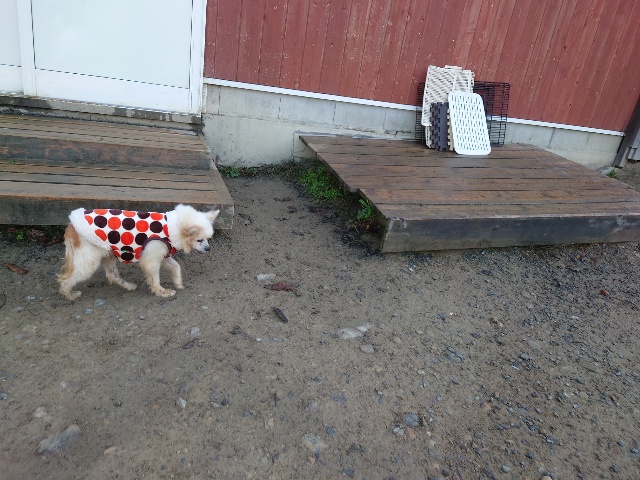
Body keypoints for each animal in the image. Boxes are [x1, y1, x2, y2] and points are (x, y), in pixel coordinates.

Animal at [58, 204, 219, 300]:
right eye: (199, 240)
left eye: (208, 239)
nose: (208, 248)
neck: (171, 227)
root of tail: (71, 225)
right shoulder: (151, 260)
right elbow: (155, 279)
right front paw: (161, 292)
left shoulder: (163, 255)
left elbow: (176, 266)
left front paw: (178, 282)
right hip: (88, 261)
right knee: (66, 280)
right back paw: (70, 295)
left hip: (107, 254)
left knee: (111, 275)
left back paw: (129, 286)